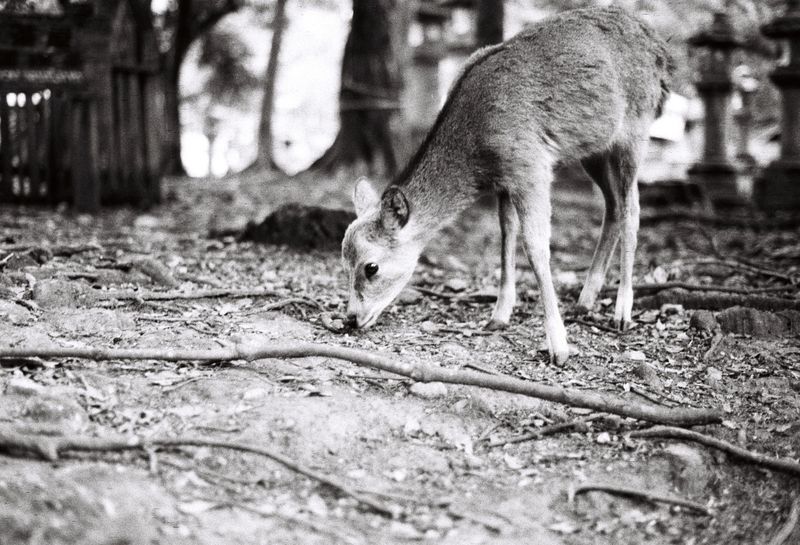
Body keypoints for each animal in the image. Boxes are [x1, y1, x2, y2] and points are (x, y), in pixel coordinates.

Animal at [341, 6, 673, 365]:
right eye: (343, 261)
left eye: (371, 267)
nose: (351, 318)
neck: (478, 150)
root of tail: (659, 49)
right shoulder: (505, 178)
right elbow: (506, 235)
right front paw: (499, 315)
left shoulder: (532, 167)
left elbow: (537, 248)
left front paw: (559, 347)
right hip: (594, 148)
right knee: (612, 205)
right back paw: (586, 299)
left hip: (636, 128)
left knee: (632, 209)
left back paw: (622, 312)